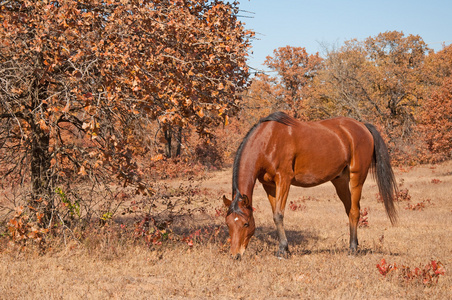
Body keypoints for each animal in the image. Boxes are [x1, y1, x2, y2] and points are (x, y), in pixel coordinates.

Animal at [224, 111, 398, 258]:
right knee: (350, 211)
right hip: (340, 181)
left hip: (357, 177)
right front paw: (284, 248)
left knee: (355, 211)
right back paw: (353, 244)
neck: (268, 140)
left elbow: (278, 215)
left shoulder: (284, 180)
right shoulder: (269, 185)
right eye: (228, 224)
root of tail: (362, 126)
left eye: (246, 224)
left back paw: (353, 250)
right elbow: (275, 214)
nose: (235, 255)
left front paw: (283, 251)